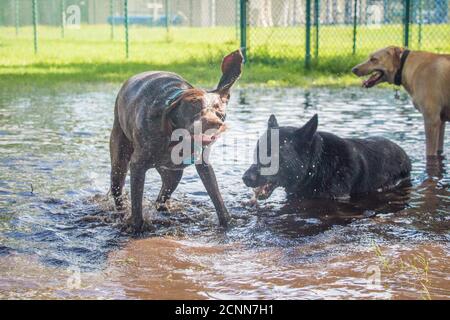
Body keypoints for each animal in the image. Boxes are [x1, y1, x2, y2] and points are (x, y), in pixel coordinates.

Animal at [109, 49, 243, 232]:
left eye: (218, 110)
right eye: (194, 106)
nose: (215, 123)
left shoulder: (203, 164)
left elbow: (217, 198)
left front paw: (227, 223)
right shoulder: (137, 165)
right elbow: (136, 207)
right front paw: (137, 228)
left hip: (173, 175)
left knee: (162, 197)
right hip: (119, 162)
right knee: (118, 191)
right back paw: (122, 214)